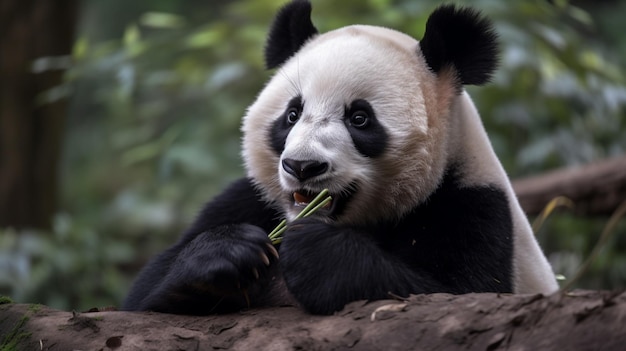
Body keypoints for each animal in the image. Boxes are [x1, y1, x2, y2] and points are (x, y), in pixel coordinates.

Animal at [122, 0, 556, 316]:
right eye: (292, 114)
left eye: (359, 118)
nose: (302, 167)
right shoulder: (248, 199)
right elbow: (144, 296)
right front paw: (228, 251)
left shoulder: (472, 206)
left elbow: (458, 294)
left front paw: (316, 253)